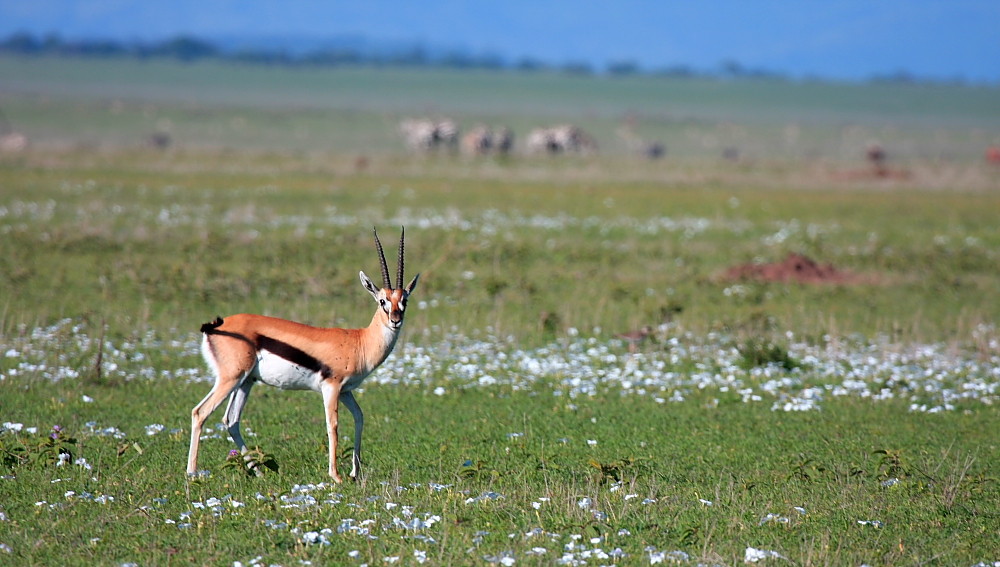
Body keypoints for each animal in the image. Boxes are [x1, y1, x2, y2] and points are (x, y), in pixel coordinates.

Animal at [188, 229, 418, 482]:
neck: (360, 341)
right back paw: (193, 473)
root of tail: (215, 325)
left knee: (231, 420)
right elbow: (333, 425)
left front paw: (355, 473)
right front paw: (336, 476)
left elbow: (359, 417)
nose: (395, 320)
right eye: (382, 300)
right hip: (231, 378)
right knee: (200, 412)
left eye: (404, 300)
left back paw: (258, 471)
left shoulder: (346, 391)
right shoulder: (331, 387)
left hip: (246, 381)